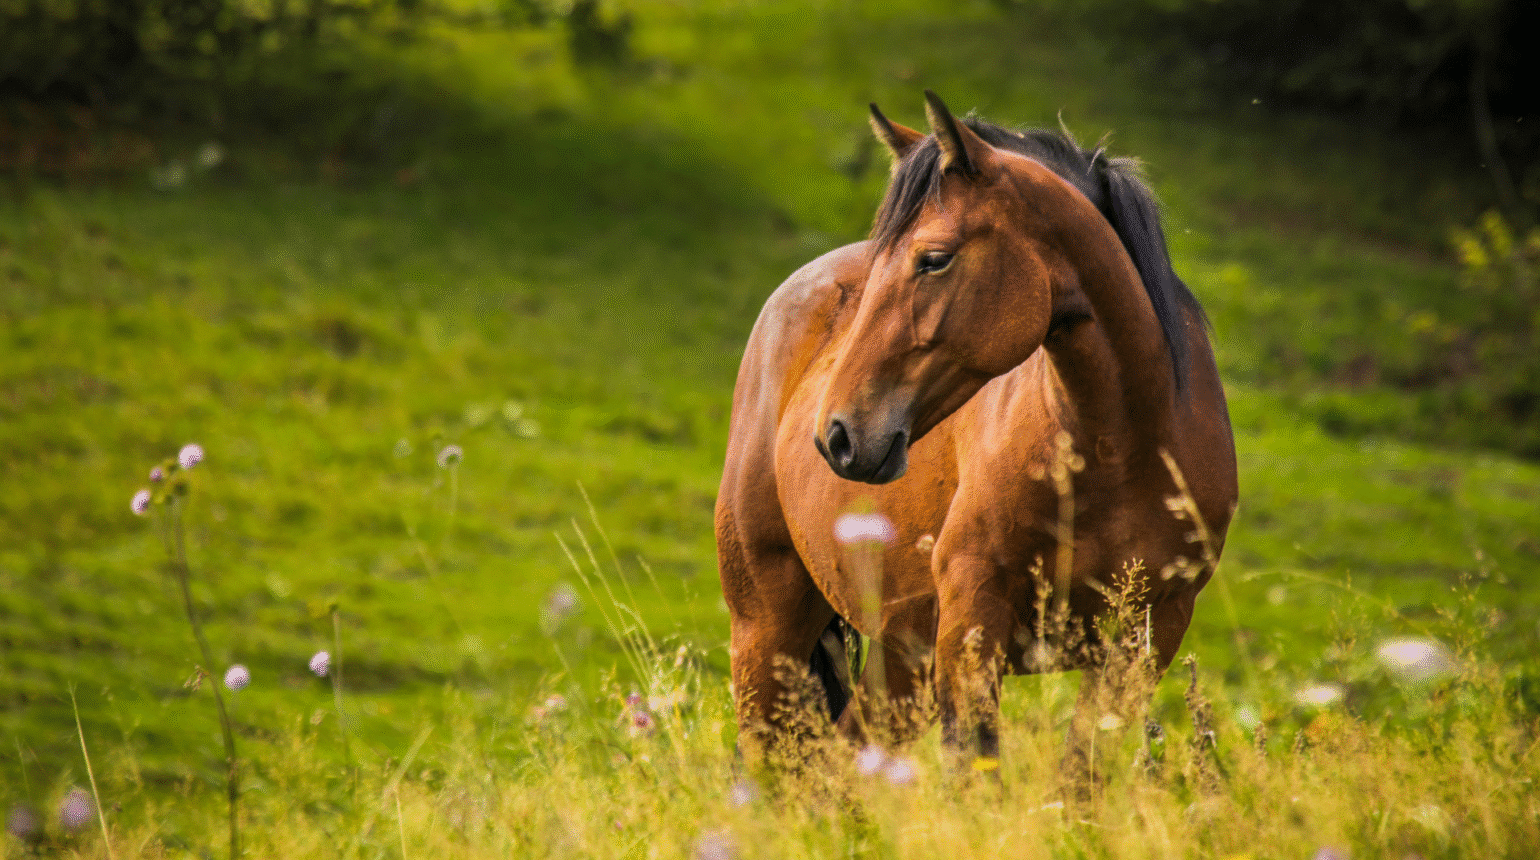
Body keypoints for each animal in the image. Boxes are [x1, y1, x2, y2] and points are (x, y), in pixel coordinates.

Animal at [715, 91, 1237, 776]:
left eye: (934, 259)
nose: (837, 435)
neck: (1119, 452)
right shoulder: (971, 622)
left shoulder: (1145, 638)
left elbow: (1080, 777)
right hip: (768, 632)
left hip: (897, 656)